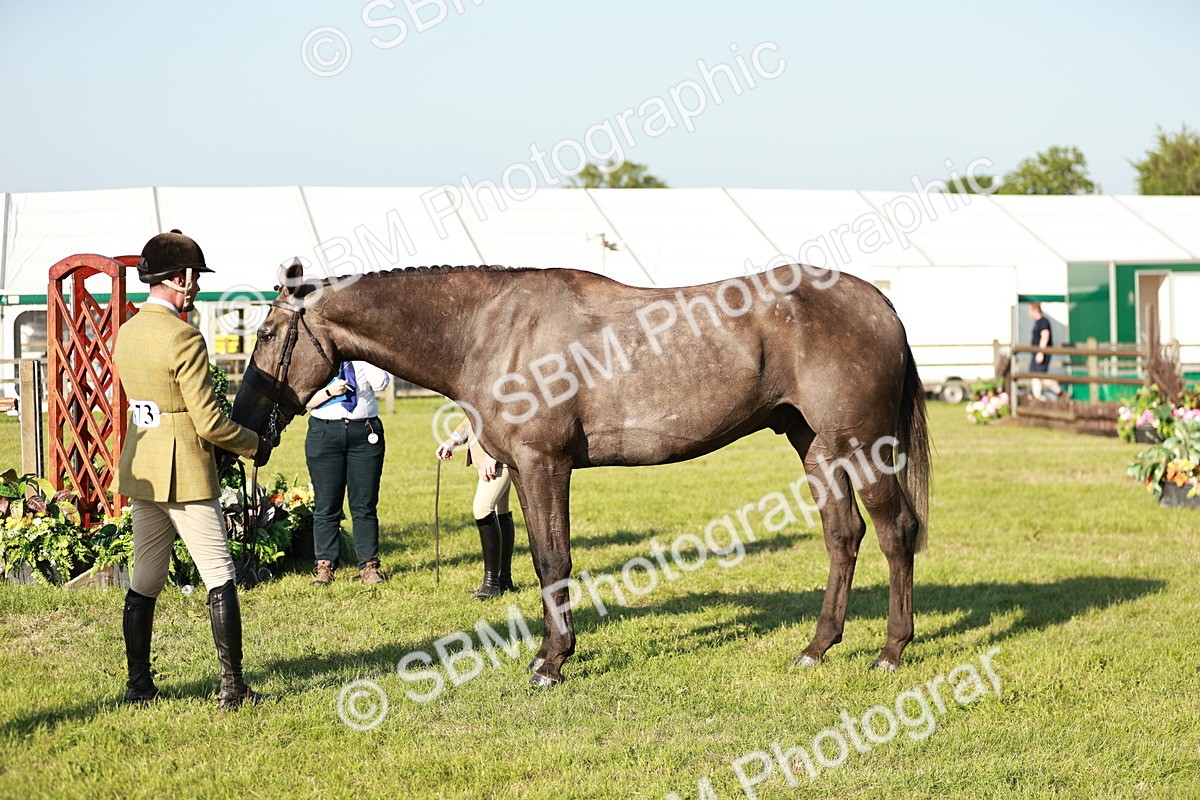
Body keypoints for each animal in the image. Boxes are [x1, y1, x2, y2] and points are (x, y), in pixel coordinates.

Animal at [231, 260, 929, 686]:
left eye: (264, 335)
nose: (245, 422)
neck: (490, 329)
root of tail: (880, 304)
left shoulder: (545, 466)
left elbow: (553, 559)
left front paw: (552, 662)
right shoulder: (526, 469)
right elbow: (544, 560)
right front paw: (549, 653)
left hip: (861, 445)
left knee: (895, 533)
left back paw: (891, 652)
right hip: (816, 447)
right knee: (844, 537)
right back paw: (816, 647)